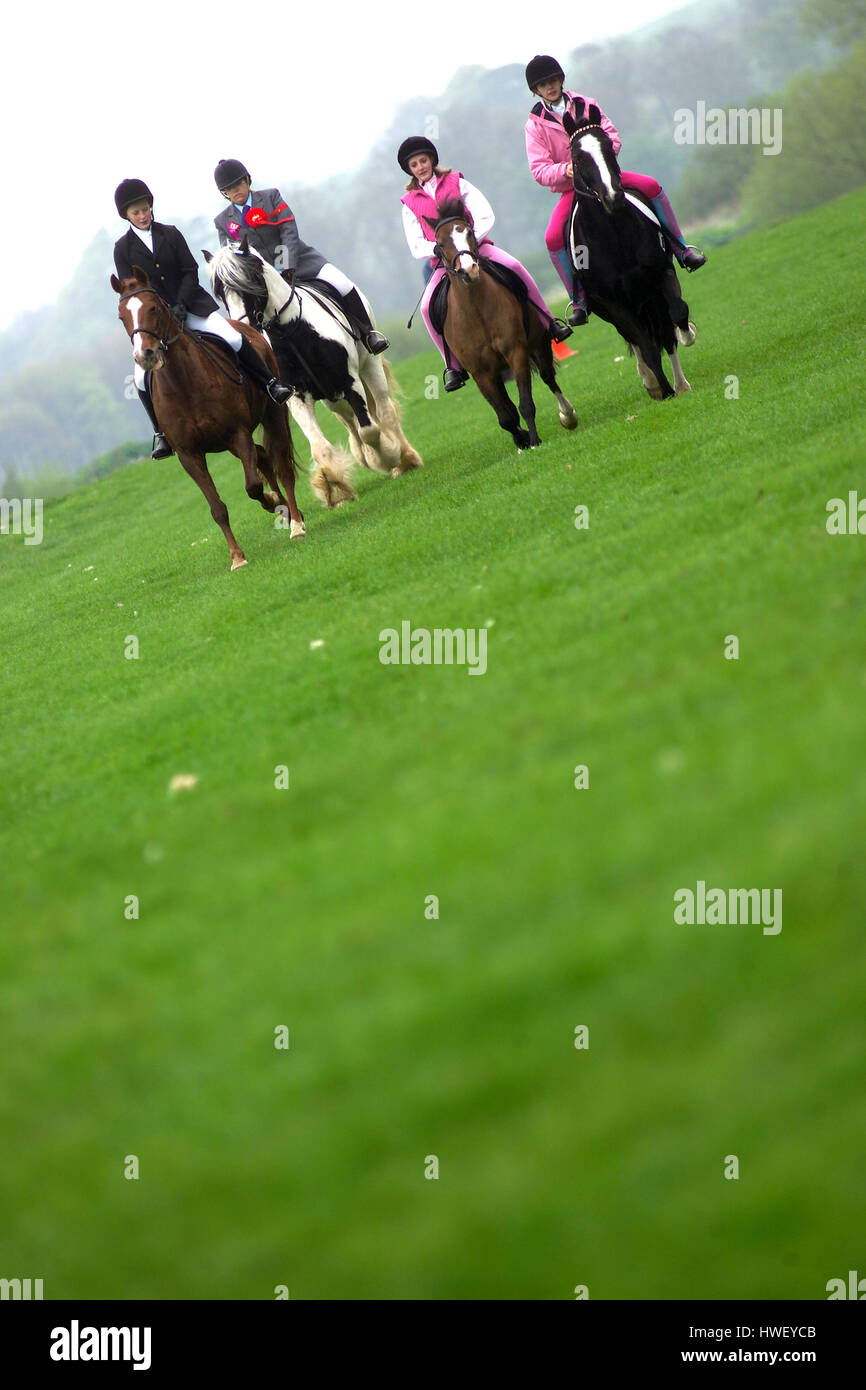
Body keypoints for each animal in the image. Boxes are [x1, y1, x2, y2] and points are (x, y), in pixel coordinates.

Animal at [111, 265, 307, 569]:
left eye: (153, 308)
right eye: (122, 316)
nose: (144, 355)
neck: (184, 383)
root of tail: (247, 328)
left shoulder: (237, 433)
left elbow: (252, 487)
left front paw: (271, 500)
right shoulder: (189, 454)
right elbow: (217, 508)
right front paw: (237, 557)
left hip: (272, 415)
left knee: (282, 466)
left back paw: (296, 522)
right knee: (263, 455)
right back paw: (283, 509)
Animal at [202, 247, 419, 508]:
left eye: (249, 280)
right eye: (219, 292)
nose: (240, 326)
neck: (291, 330)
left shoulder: (350, 383)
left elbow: (370, 430)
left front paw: (386, 458)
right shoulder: (297, 397)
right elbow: (320, 447)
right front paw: (335, 489)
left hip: (369, 366)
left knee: (385, 412)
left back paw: (404, 459)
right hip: (332, 396)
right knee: (350, 421)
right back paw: (364, 456)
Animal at [425, 201, 575, 447]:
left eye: (470, 232)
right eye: (439, 244)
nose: (469, 271)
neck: (477, 310)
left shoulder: (516, 352)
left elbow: (525, 403)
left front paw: (533, 440)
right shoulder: (481, 372)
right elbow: (505, 416)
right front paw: (521, 438)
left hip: (539, 343)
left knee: (548, 376)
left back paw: (568, 416)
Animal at [561, 101, 697, 397]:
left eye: (608, 146)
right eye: (577, 158)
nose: (613, 197)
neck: (615, 236)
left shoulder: (662, 274)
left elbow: (677, 315)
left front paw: (687, 336)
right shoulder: (614, 303)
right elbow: (646, 347)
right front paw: (664, 391)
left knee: (664, 332)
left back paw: (679, 382)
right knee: (637, 341)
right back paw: (652, 382)